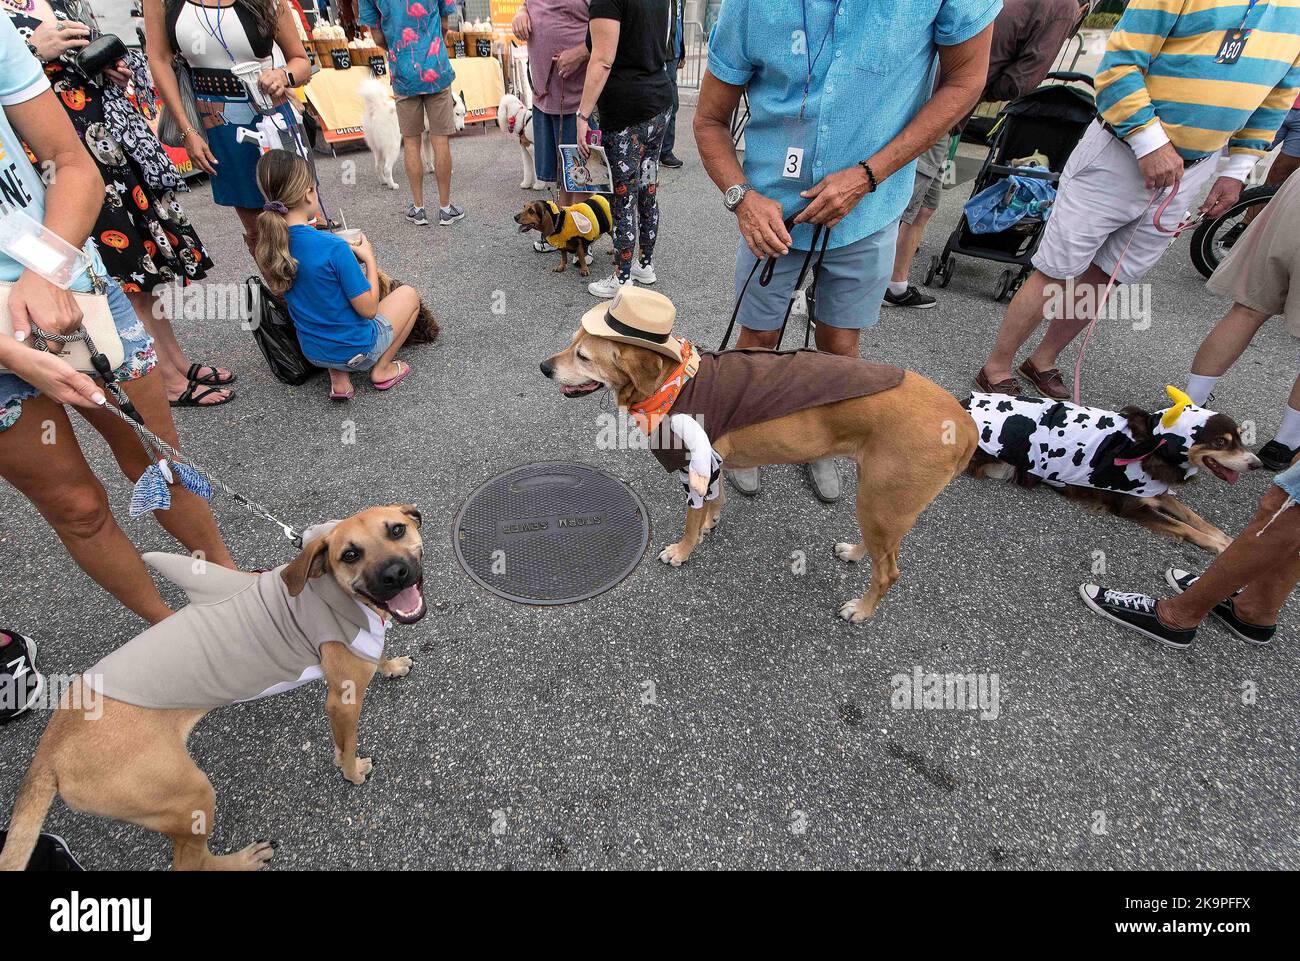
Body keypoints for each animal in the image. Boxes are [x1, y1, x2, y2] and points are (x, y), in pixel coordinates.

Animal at [0, 507, 423, 873]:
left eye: (396, 530)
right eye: (349, 554)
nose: (396, 574)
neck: (334, 594)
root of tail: (49, 751)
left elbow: (378, 653)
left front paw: (390, 665)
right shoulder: (342, 702)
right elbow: (346, 746)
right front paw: (352, 772)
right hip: (190, 796)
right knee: (191, 863)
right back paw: (242, 861)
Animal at [538, 286, 977, 624]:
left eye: (583, 356)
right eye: (572, 343)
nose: (543, 367)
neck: (674, 379)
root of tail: (964, 421)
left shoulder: (692, 467)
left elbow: (691, 520)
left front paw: (683, 549)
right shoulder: (711, 466)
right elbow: (716, 500)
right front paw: (709, 524)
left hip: (881, 504)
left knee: (888, 573)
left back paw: (862, 609)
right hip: (879, 506)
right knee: (880, 551)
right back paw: (853, 553)